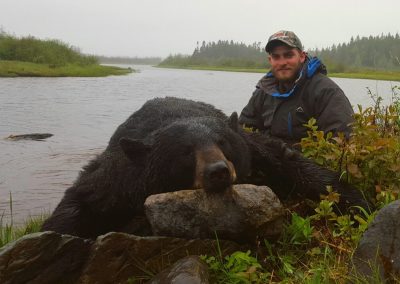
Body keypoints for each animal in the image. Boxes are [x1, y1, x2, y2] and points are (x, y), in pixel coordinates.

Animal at [42, 96, 370, 239]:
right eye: (185, 152)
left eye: (223, 142)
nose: (218, 171)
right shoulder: (120, 178)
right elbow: (81, 200)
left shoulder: (253, 149)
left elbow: (300, 168)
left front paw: (360, 205)